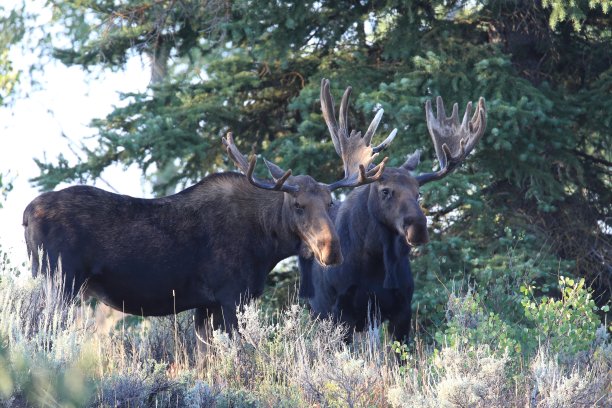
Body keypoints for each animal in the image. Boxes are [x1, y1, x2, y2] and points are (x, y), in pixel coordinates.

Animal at [21, 79, 394, 342]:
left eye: (330, 203)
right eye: (298, 205)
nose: (331, 250)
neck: (267, 246)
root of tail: (24, 215)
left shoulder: (205, 304)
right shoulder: (231, 296)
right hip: (60, 279)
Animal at [302, 91, 488, 342]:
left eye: (418, 193)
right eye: (385, 191)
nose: (418, 227)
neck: (374, 262)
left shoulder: (403, 307)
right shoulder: (339, 310)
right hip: (317, 311)